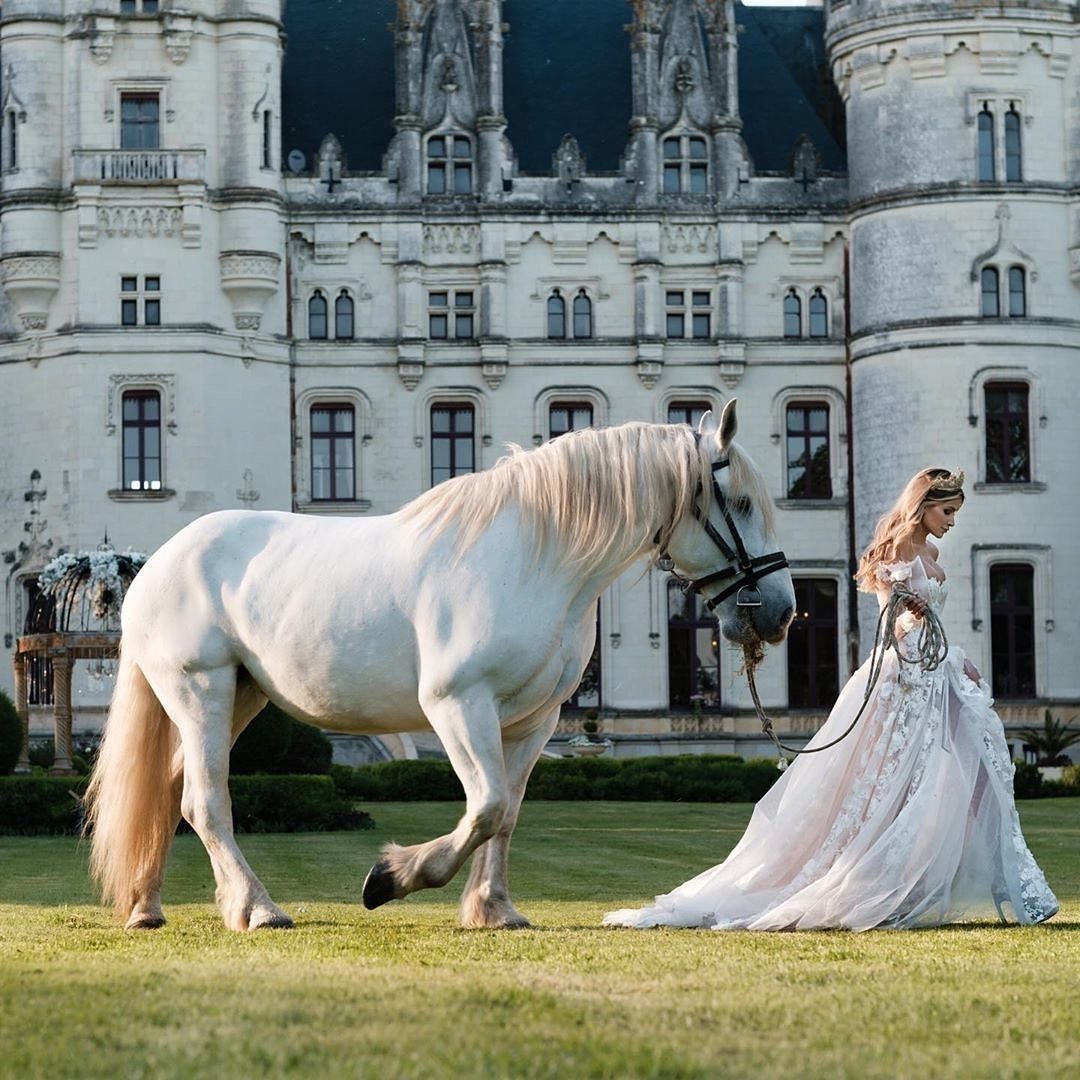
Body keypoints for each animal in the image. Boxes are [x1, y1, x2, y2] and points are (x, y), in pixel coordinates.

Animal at [84, 399, 794, 932]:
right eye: (743, 503)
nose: (781, 612)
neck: (536, 558)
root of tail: (160, 560)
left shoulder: (534, 721)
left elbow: (507, 812)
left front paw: (494, 909)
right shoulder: (458, 704)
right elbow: (483, 808)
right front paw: (390, 878)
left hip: (240, 696)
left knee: (170, 790)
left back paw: (147, 905)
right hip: (200, 690)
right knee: (206, 801)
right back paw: (257, 909)